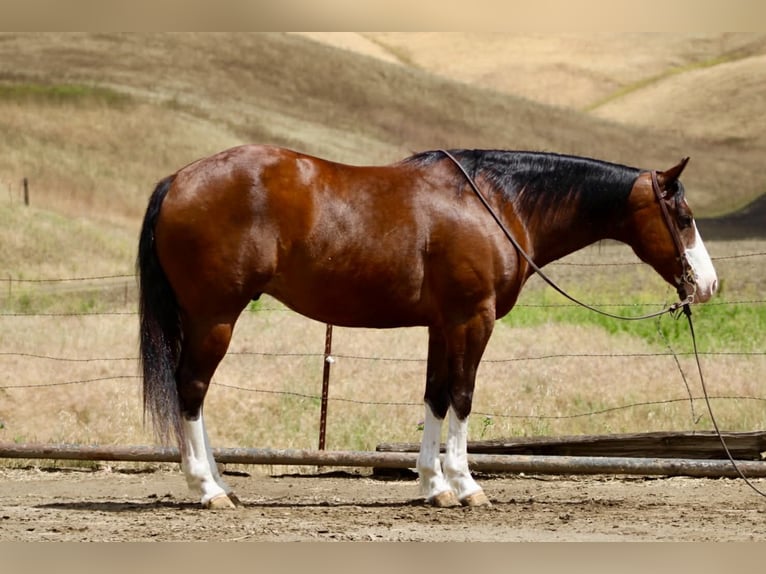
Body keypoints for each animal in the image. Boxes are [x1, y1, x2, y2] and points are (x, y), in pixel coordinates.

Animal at [137, 145, 718, 509]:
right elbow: (462, 396)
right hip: (215, 317)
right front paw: (466, 484)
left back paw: (221, 484)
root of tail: (176, 181)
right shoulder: (473, 318)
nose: (708, 285)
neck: (497, 202)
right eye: (684, 216)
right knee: (191, 390)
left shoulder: (444, 324)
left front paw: (434, 485)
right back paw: (208, 489)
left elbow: (435, 397)